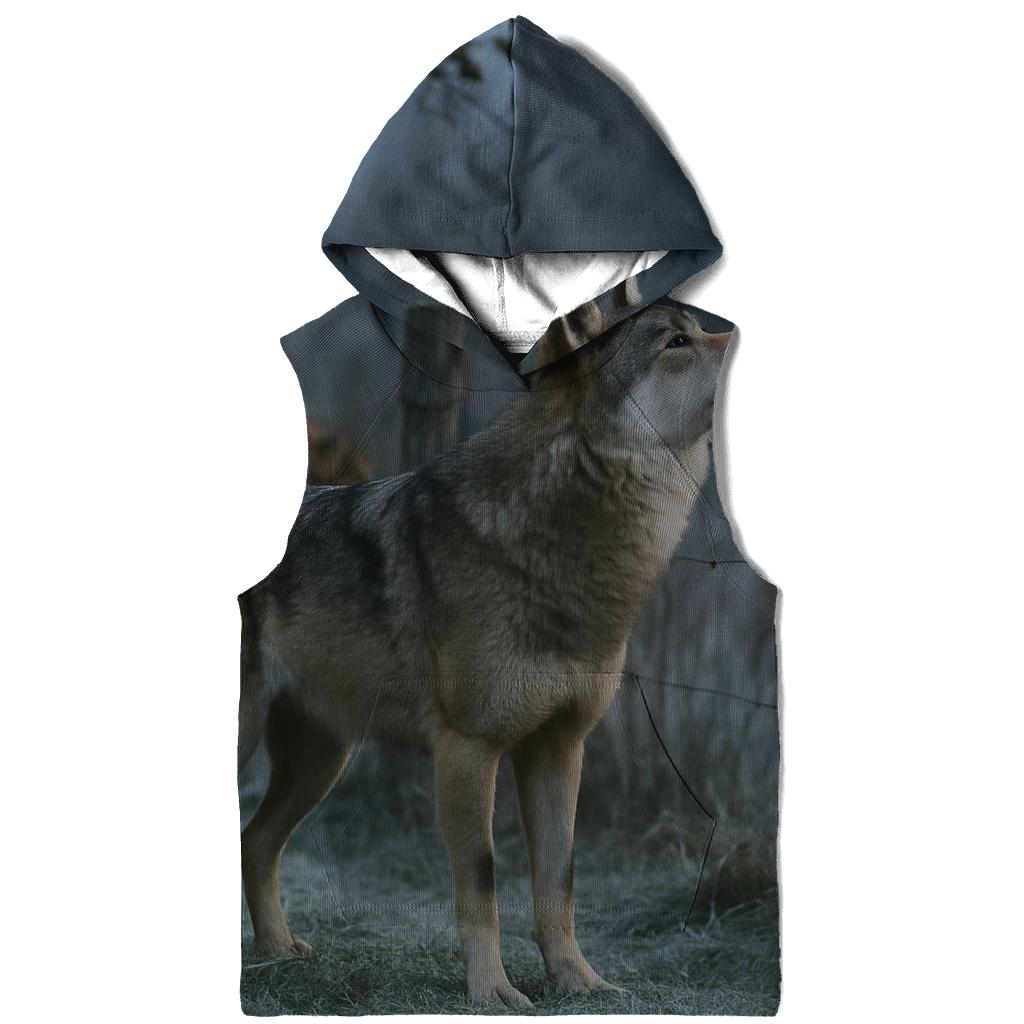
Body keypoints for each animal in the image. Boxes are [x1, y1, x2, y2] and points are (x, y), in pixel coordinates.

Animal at [238, 302, 730, 1007]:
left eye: (701, 330)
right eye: (676, 342)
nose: (740, 338)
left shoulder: (559, 749)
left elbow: (559, 884)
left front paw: (579, 983)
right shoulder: (469, 751)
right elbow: (482, 881)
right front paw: (492, 993)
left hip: (321, 761)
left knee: (254, 843)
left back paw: (279, 954)